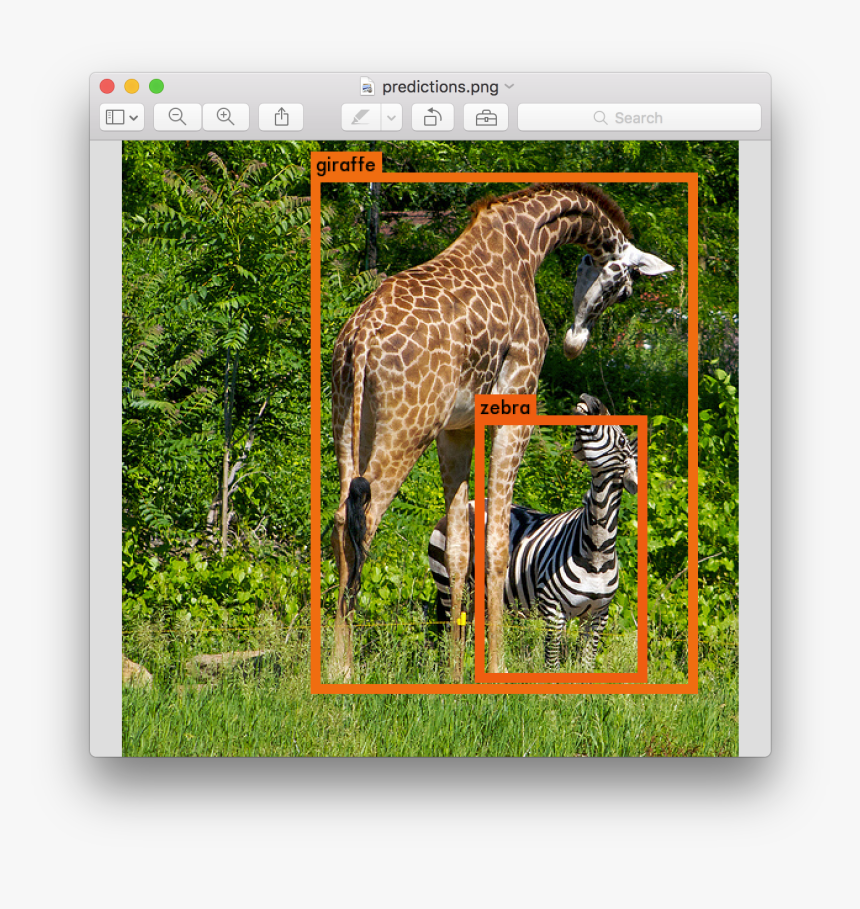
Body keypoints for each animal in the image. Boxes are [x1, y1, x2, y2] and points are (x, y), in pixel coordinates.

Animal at [427, 393, 638, 670]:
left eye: (622, 439)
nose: (588, 398)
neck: (596, 549)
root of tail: (467, 506)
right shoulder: (553, 610)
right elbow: (552, 664)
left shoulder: (597, 615)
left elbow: (586, 664)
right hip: (448, 584)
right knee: (449, 638)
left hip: (478, 597)